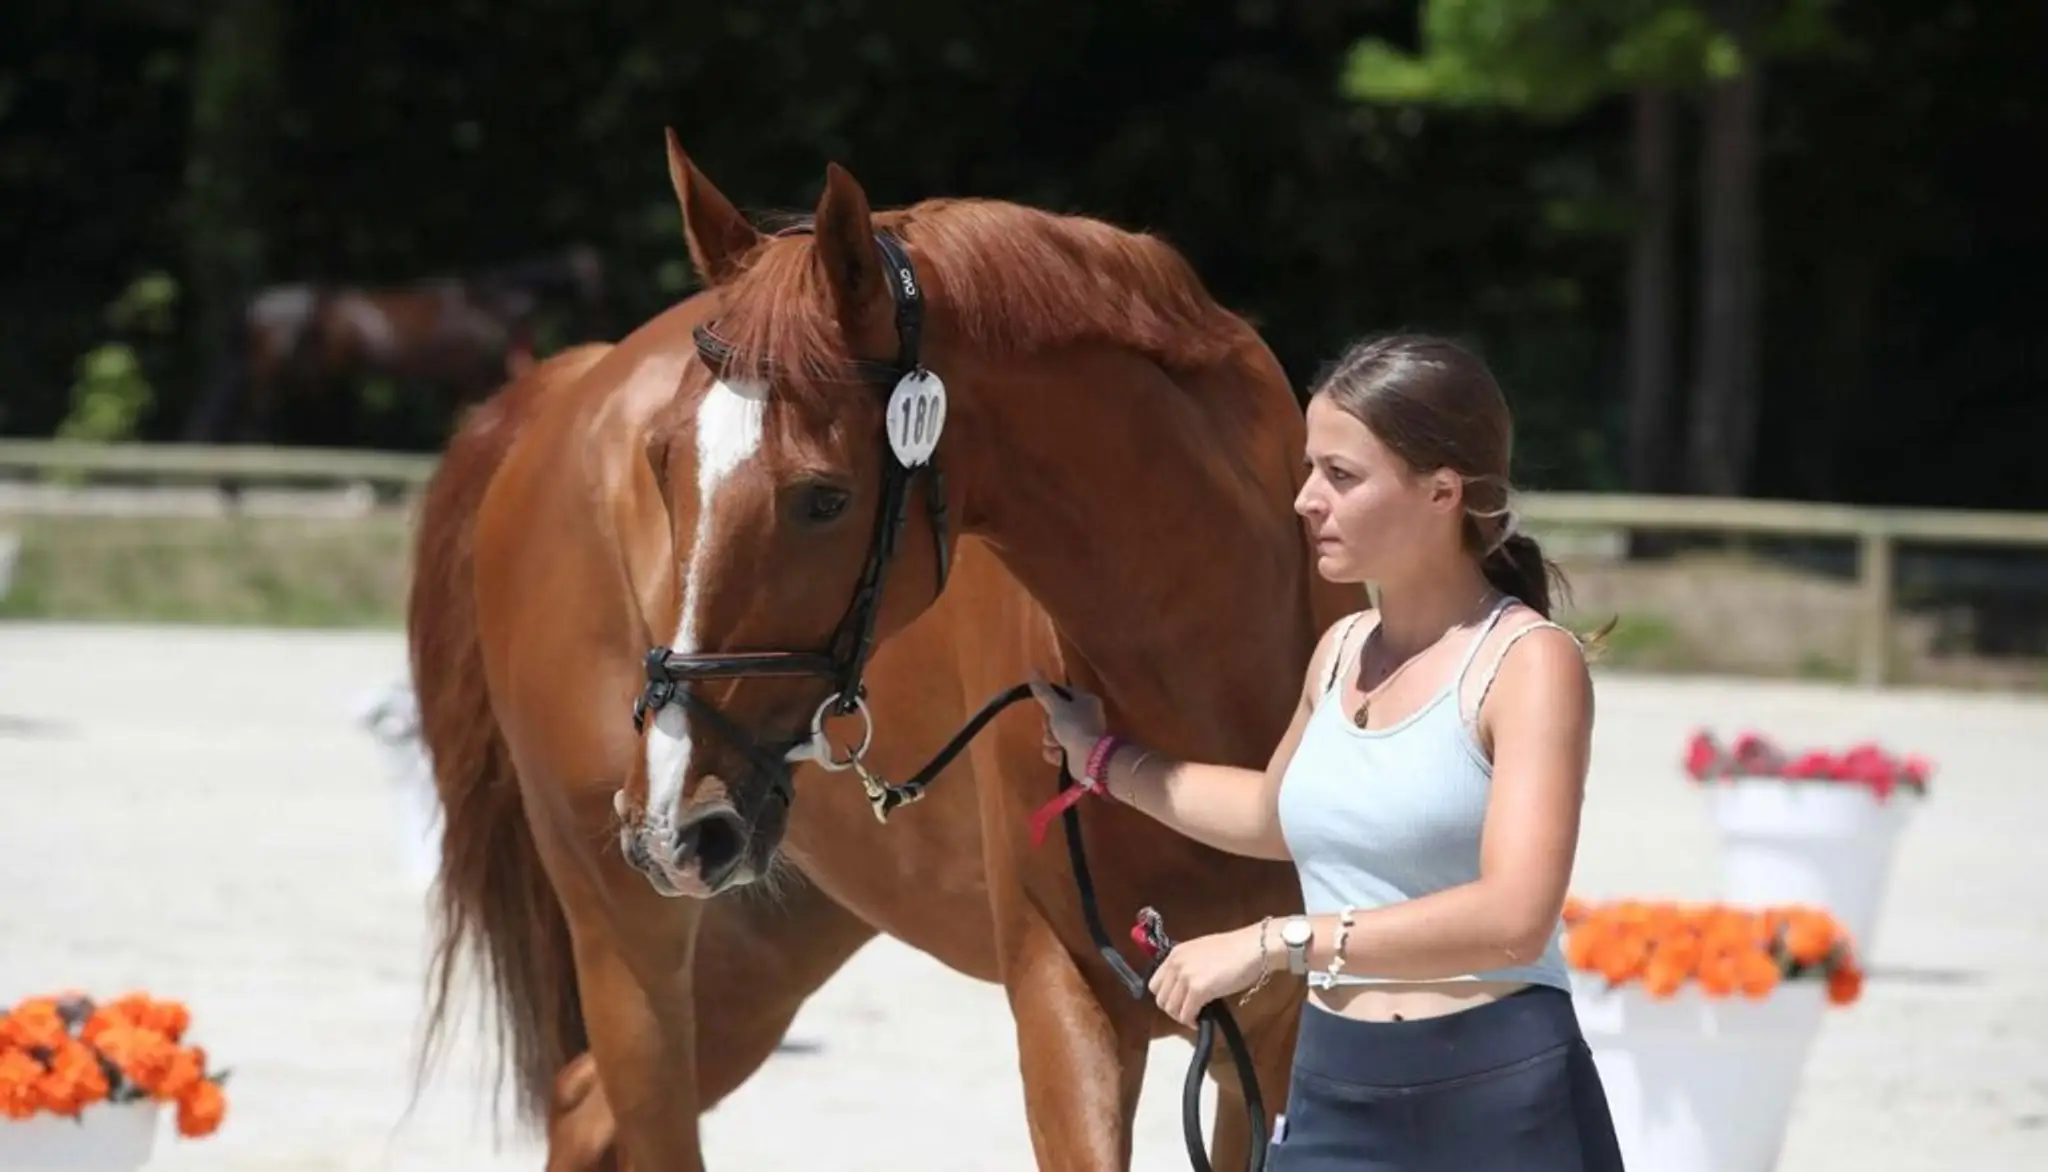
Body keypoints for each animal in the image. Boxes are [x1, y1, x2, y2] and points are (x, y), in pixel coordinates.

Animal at [182, 244, 606, 449]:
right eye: (591, 283)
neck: (487, 303)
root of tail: (256, 305)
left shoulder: (455, 384)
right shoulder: (472, 378)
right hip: (268, 376)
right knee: (247, 421)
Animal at [406, 131, 1355, 1172]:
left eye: (823, 498)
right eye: (661, 465)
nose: (668, 817)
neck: (1205, 686)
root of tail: (568, 387)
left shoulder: (1268, 1035)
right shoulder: (1067, 994)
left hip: (771, 934)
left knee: (583, 1106)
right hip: (629, 923)